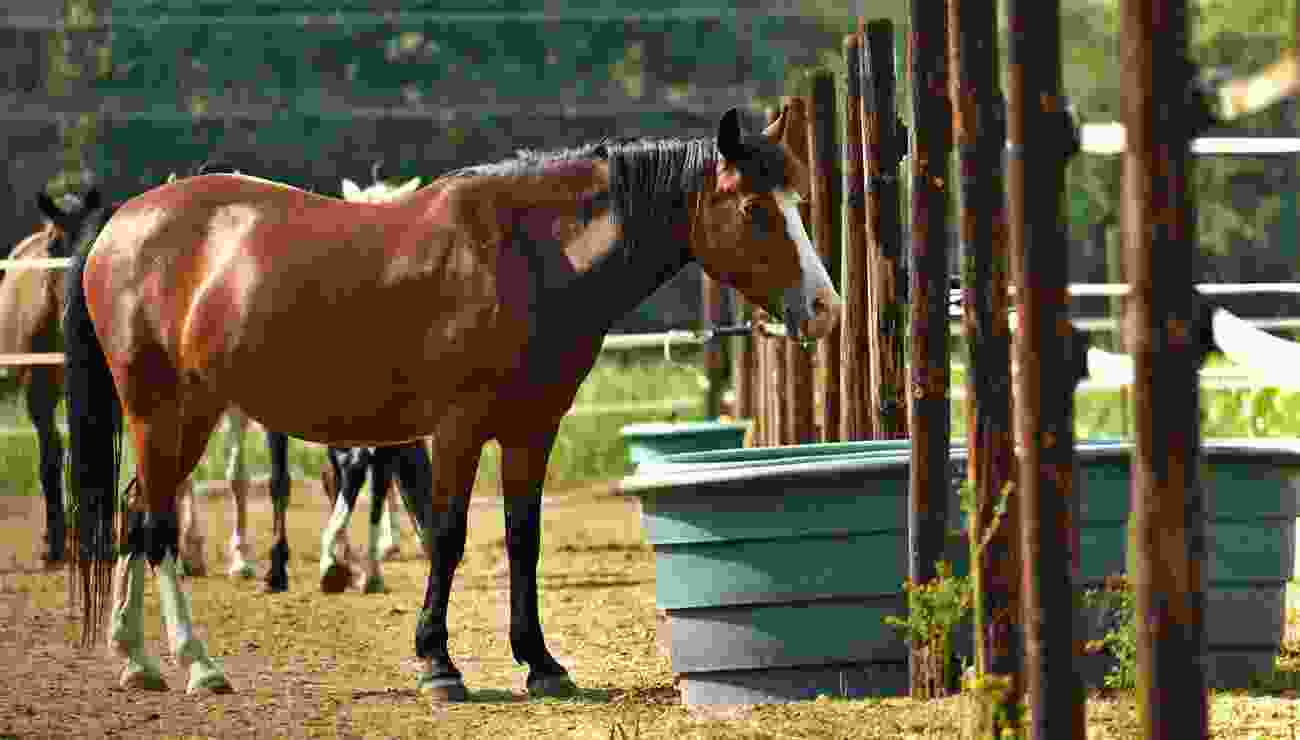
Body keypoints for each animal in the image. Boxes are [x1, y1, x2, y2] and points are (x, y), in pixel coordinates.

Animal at [65, 105, 837, 697]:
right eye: (755, 208)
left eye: (799, 203)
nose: (826, 309)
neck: (530, 255)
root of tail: (123, 224)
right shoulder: (457, 429)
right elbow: (449, 533)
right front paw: (438, 663)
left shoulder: (531, 429)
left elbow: (523, 539)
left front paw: (541, 663)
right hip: (162, 411)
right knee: (156, 527)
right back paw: (197, 665)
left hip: (181, 417)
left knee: (137, 513)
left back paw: (136, 660)